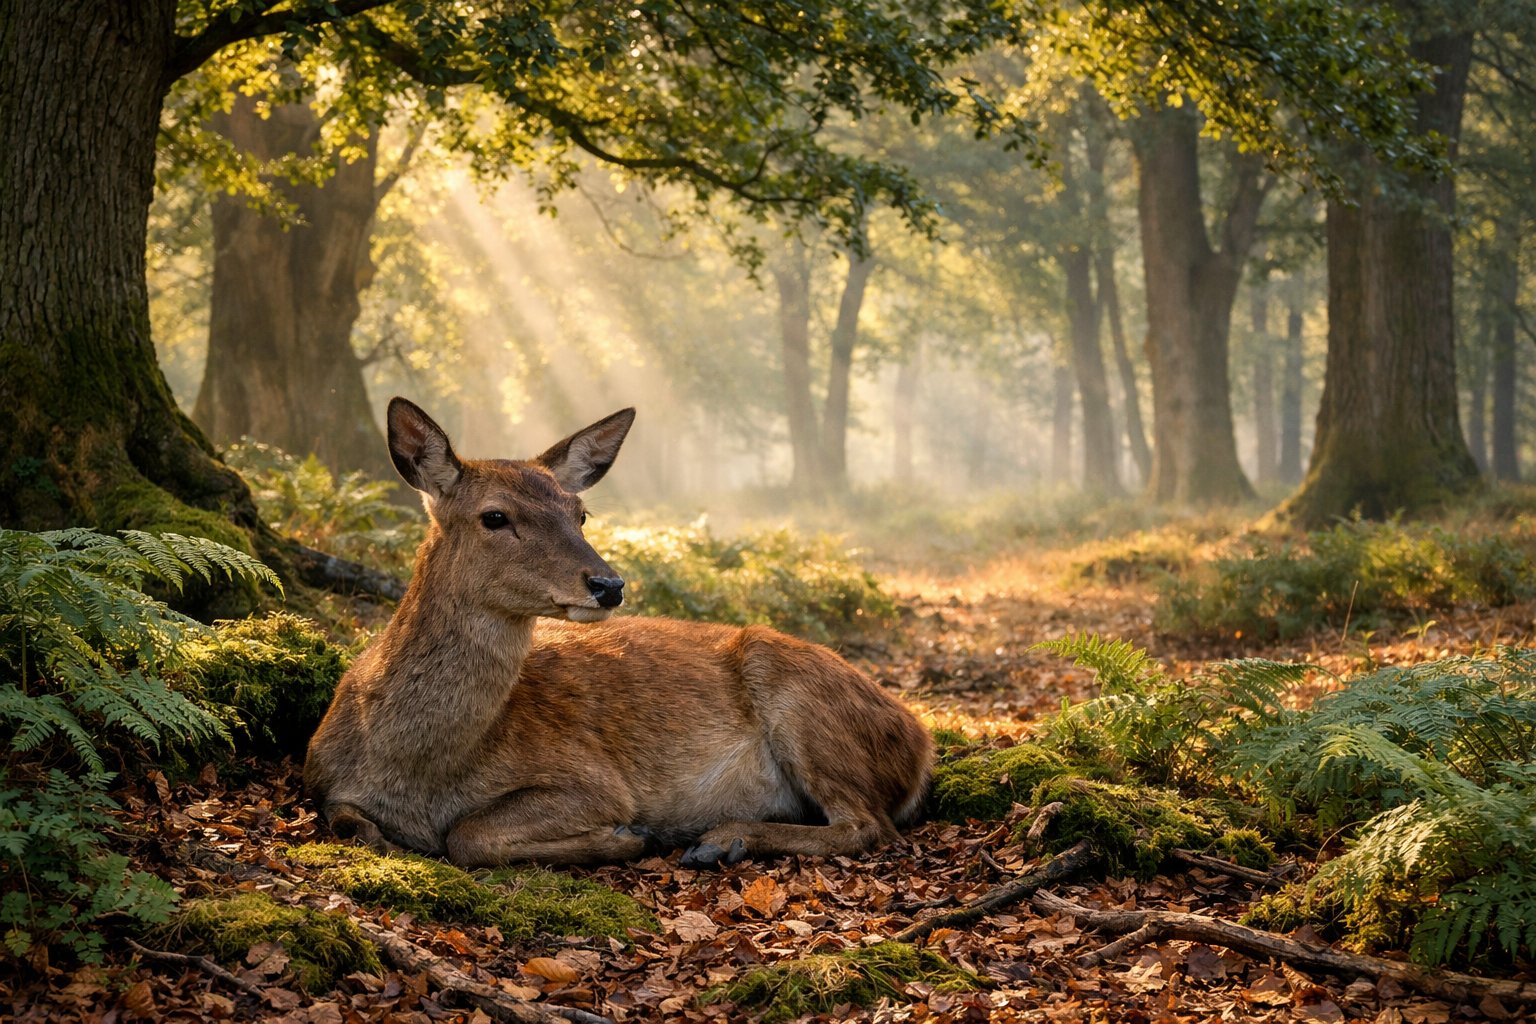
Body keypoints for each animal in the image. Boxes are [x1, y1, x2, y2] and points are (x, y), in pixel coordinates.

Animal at [304, 398, 935, 868]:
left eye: (580, 513)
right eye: (494, 516)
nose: (608, 584)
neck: (416, 770)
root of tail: (921, 741)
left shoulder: (592, 779)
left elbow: (469, 835)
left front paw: (631, 837)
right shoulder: (319, 775)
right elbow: (344, 818)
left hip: (804, 703)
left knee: (868, 824)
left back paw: (720, 839)